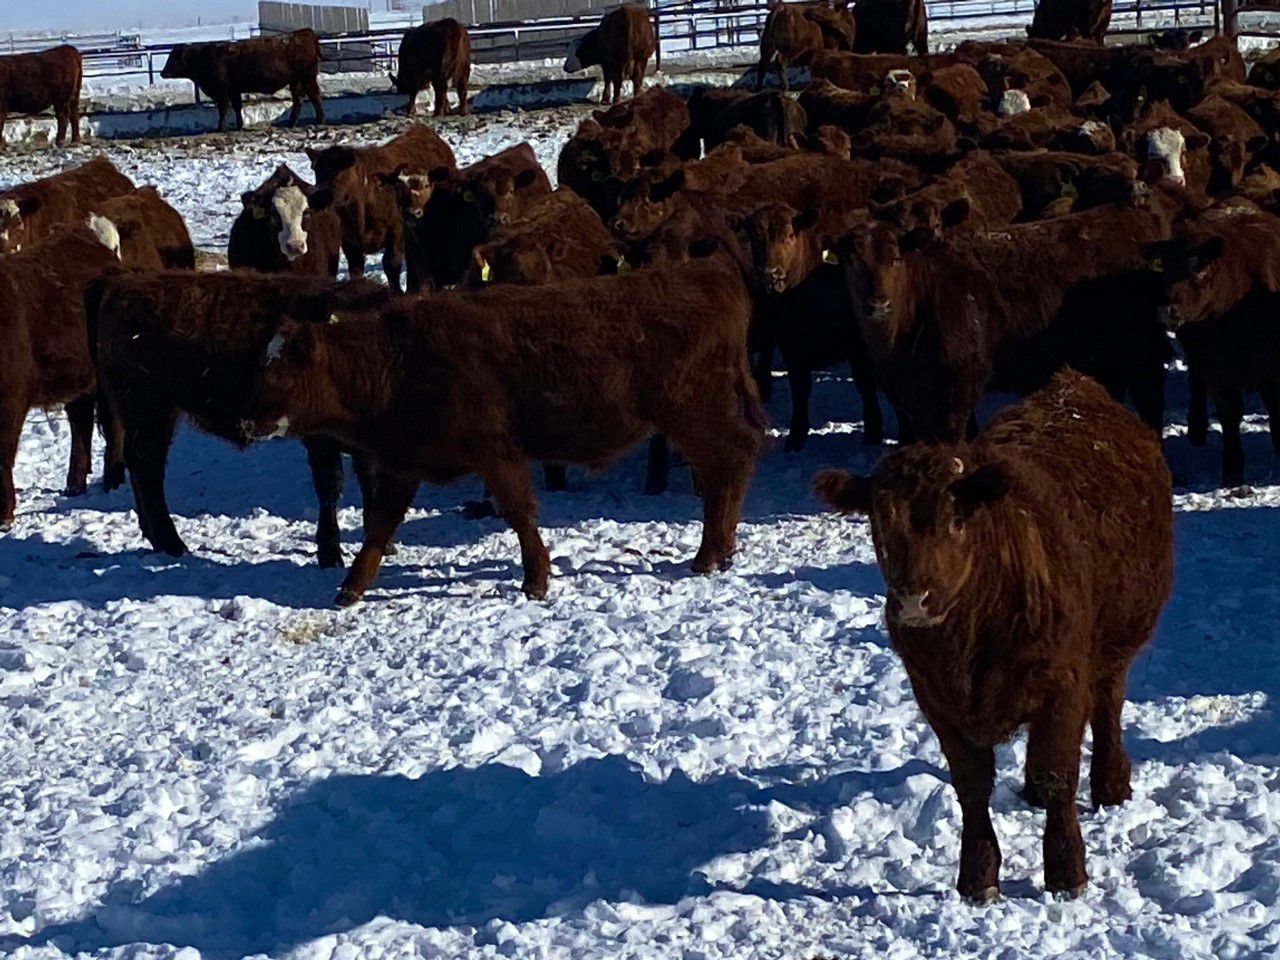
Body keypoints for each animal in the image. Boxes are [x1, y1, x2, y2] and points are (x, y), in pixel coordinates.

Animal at [87, 270, 398, 567]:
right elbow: (330, 486)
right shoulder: (321, 441)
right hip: (153, 414)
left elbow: (370, 482)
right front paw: (330, 553)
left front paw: (383, 544)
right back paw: (173, 544)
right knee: (148, 470)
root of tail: (121, 282)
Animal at [161, 30, 324, 132]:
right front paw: (239, 125)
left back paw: (320, 119)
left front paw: (220, 127)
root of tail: (304, 32)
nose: (162, 72)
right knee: (299, 100)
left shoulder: (223, 92)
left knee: (314, 95)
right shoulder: (234, 91)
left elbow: (223, 109)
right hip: (296, 81)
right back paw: (292, 123)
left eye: (173, 58)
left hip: (307, 77)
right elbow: (237, 107)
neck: (203, 57)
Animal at [237, 256, 766, 606]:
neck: (401, 361)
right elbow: (380, 524)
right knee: (726, 469)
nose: (246, 421)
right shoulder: (405, 463)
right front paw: (350, 587)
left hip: (694, 415)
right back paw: (719, 550)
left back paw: (709, 554)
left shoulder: (495, 451)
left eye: (281, 372)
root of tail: (711, 274)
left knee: (734, 459)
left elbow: (519, 513)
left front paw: (536, 580)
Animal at [306, 124, 456, 291]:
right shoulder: (348, 239)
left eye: (336, 171)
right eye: (316, 170)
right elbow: (356, 268)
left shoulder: (398, 231)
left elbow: (391, 264)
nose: (318, 196)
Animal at [814, 370, 1173, 901]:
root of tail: (1075, 385)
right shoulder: (936, 699)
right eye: (878, 522)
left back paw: (1111, 786)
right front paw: (978, 876)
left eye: (956, 519)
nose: (912, 601)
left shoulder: (1064, 682)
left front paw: (1067, 872)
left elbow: (1058, 775)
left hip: (1116, 644)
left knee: (1107, 708)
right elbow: (971, 785)